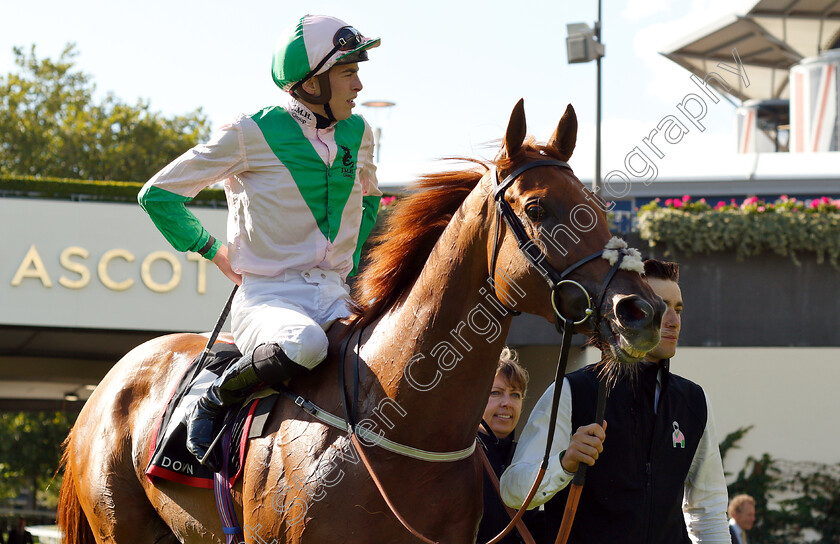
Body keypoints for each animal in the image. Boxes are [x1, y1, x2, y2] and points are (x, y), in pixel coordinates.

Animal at [57, 100, 664, 540]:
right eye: (537, 208)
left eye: (598, 206)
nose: (641, 311)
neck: (397, 416)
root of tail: (113, 378)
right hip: (121, 526)